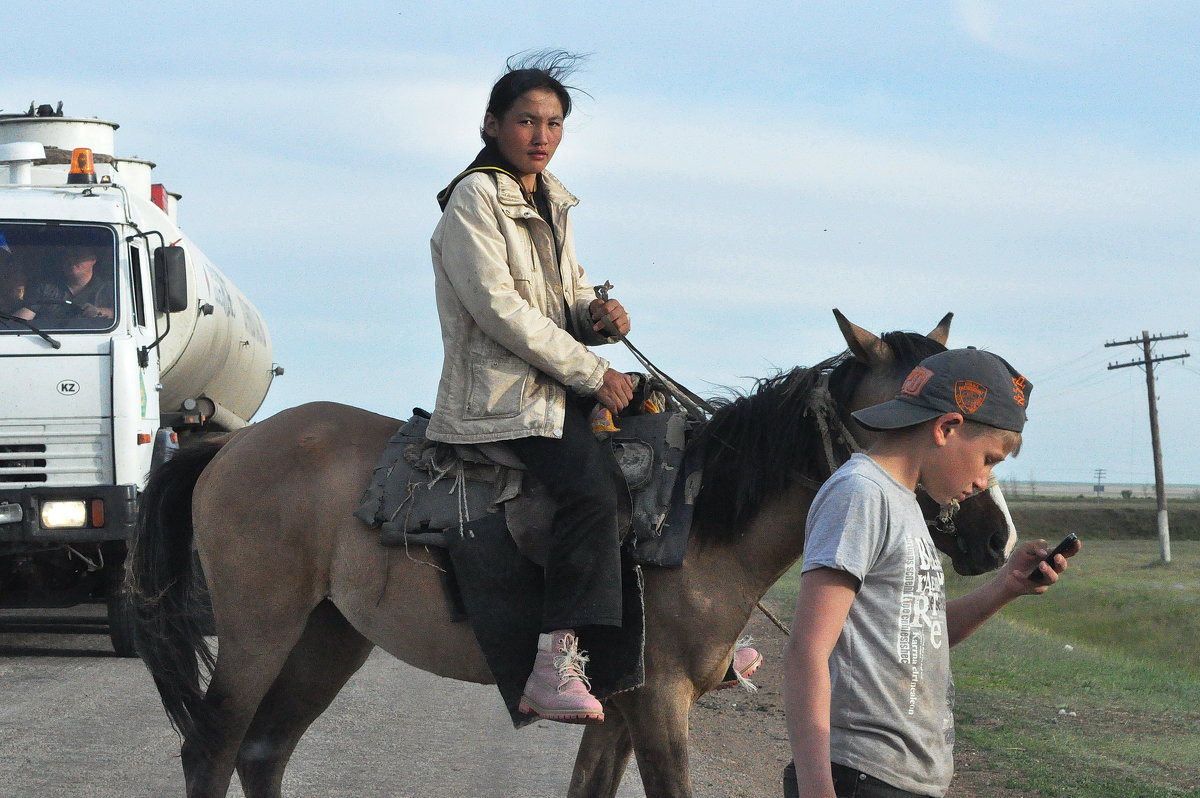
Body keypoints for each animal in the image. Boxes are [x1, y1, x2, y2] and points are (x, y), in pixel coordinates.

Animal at [129, 307, 1012, 792]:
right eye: (924, 418)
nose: (995, 535)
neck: (699, 519)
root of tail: (232, 446)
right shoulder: (659, 702)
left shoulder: (619, 705)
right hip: (257, 630)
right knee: (211, 750)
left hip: (328, 636)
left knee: (263, 751)